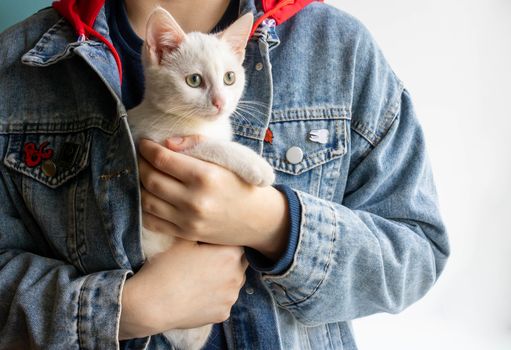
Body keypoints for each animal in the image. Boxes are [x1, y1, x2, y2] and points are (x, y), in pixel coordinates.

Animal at [127, 8, 274, 350]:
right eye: (194, 80)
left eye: (229, 77)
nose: (220, 102)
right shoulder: (154, 141)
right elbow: (207, 145)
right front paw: (256, 165)